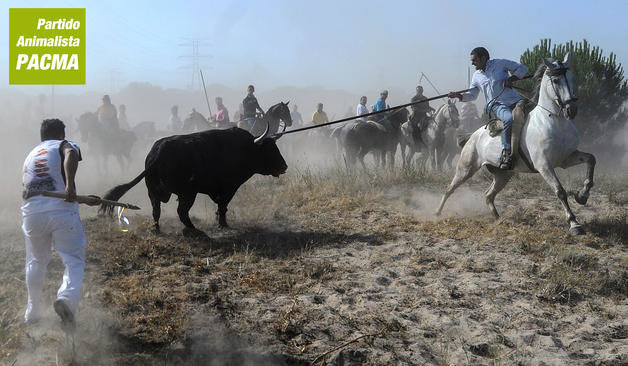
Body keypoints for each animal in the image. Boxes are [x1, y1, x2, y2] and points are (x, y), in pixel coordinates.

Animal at [101, 124, 288, 236]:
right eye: (269, 150)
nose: (284, 166)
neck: (244, 148)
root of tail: (159, 151)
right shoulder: (229, 188)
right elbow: (223, 206)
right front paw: (223, 224)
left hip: (153, 191)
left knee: (156, 210)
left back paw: (157, 228)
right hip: (188, 194)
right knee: (181, 212)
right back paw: (193, 229)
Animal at [436, 53, 592, 236]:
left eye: (571, 77)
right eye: (555, 80)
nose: (571, 109)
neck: (551, 120)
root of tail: (472, 136)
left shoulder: (566, 159)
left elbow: (591, 159)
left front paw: (582, 195)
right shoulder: (544, 165)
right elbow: (560, 191)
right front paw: (574, 223)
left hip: (503, 175)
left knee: (488, 195)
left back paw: (498, 219)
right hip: (466, 168)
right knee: (450, 189)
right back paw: (437, 212)